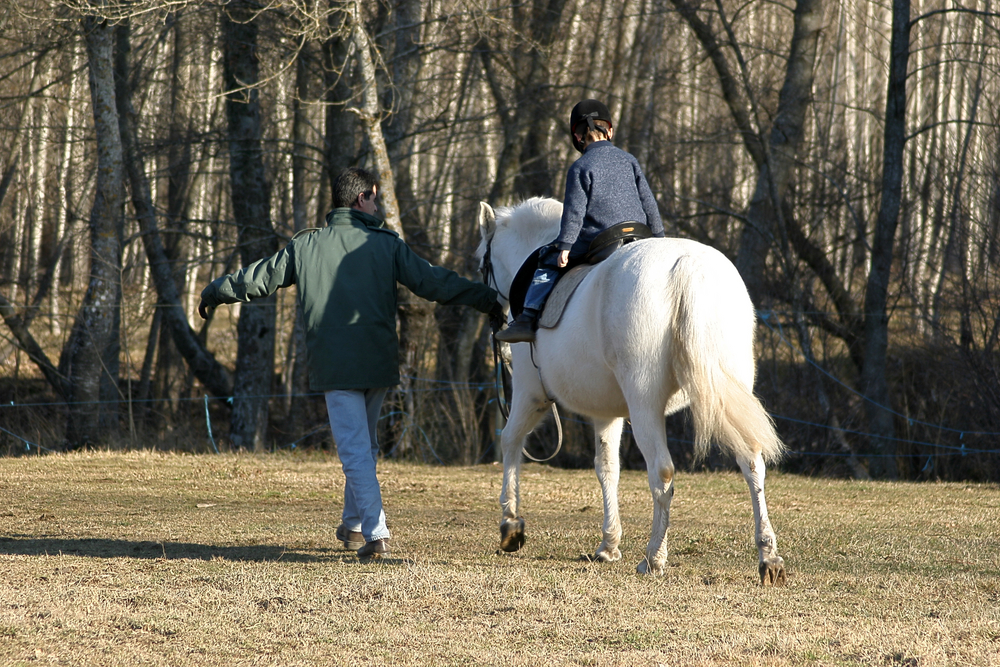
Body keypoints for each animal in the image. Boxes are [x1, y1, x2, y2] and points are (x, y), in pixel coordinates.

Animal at [478, 197, 788, 584]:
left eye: (482, 262)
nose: (496, 322)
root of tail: (688, 267)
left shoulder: (530, 394)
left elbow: (511, 442)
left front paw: (511, 524)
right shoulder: (606, 412)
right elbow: (608, 468)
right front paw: (608, 543)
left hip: (644, 403)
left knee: (662, 472)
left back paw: (654, 556)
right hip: (734, 395)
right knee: (752, 463)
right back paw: (768, 555)